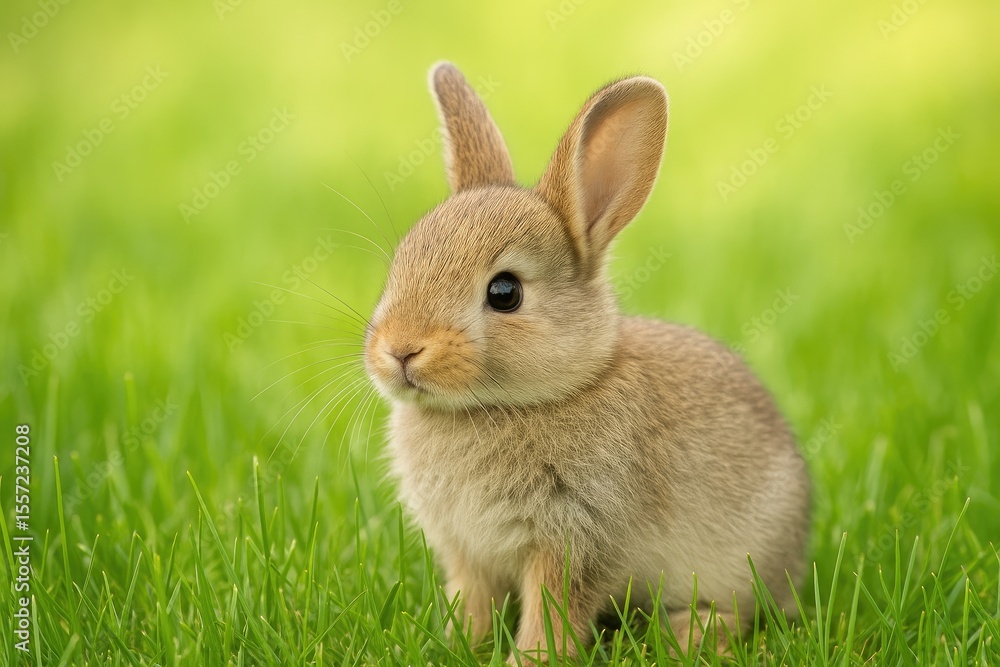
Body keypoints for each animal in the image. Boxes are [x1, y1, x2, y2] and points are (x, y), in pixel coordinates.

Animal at [363, 62, 810, 661]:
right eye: (401, 264)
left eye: (504, 292)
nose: (400, 350)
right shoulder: (468, 552)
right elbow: (473, 602)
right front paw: (456, 646)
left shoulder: (576, 538)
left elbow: (554, 615)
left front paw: (526, 661)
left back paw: (684, 634)